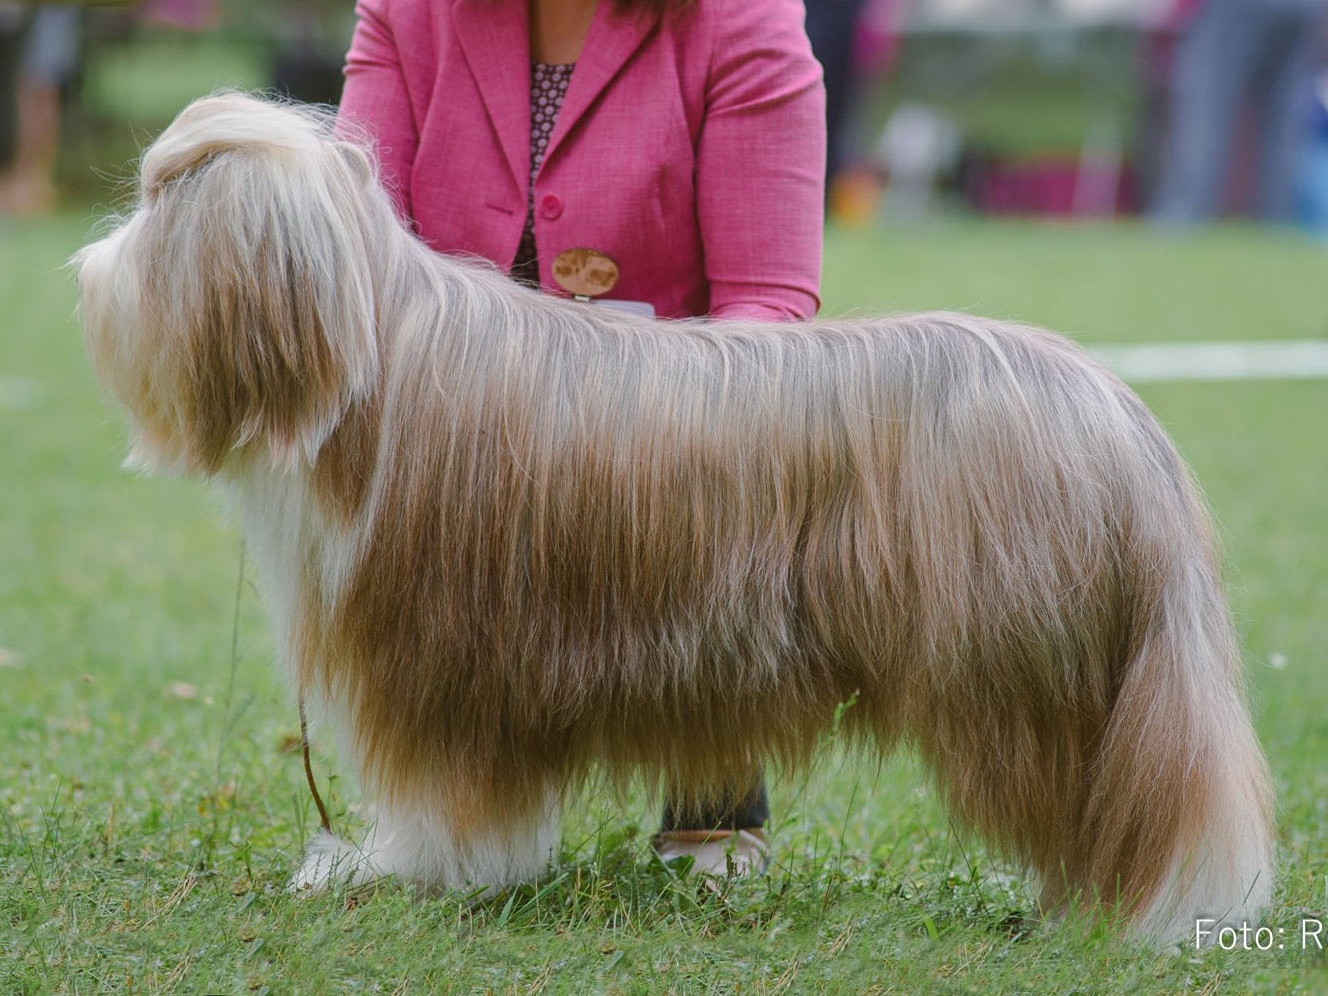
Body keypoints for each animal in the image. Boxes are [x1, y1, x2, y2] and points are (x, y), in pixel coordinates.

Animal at [75, 93, 1273, 944]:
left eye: (160, 201)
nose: (86, 269)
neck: (370, 347)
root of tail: (1124, 419)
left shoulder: (440, 662)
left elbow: (445, 806)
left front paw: (407, 873)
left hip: (1023, 678)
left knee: (1096, 811)